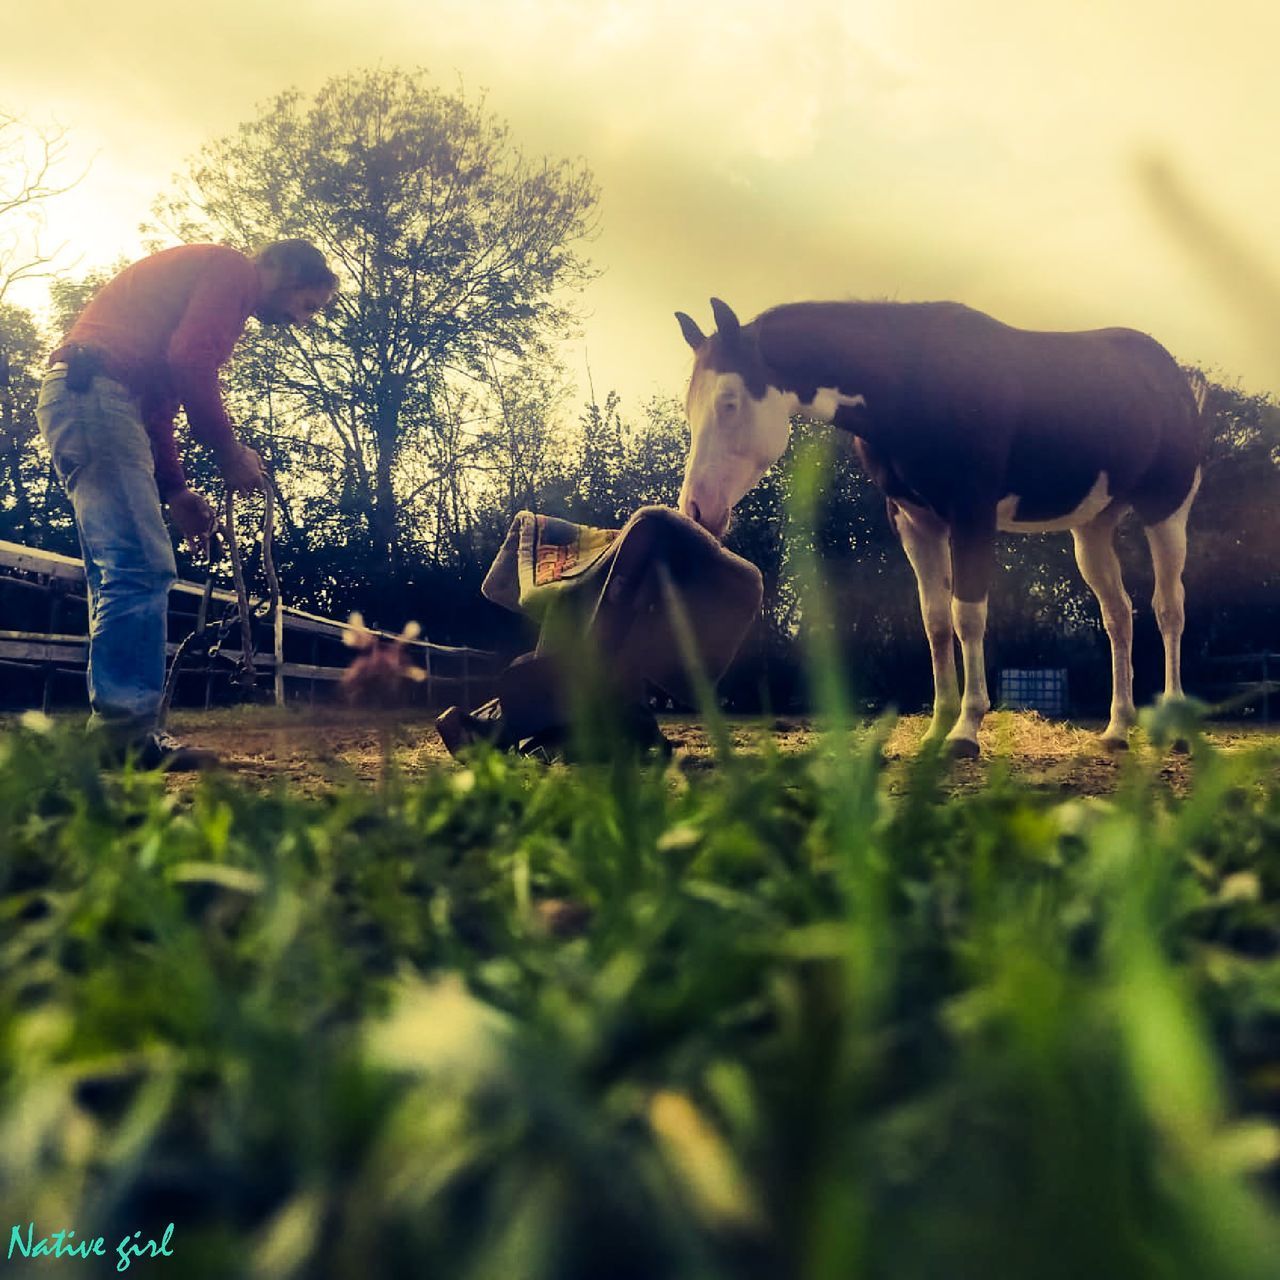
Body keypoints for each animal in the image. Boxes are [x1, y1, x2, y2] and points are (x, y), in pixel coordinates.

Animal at [675, 294, 1203, 752]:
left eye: (728, 401)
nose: (696, 509)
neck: (910, 381)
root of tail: (1172, 375)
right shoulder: (916, 524)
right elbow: (934, 620)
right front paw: (937, 727)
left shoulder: (972, 517)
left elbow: (967, 615)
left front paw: (966, 730)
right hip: (1092, 529)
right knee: (1118, 615)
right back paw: (1117, 729)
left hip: (1166, 513)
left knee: (1168, 609)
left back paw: (1175, 726)